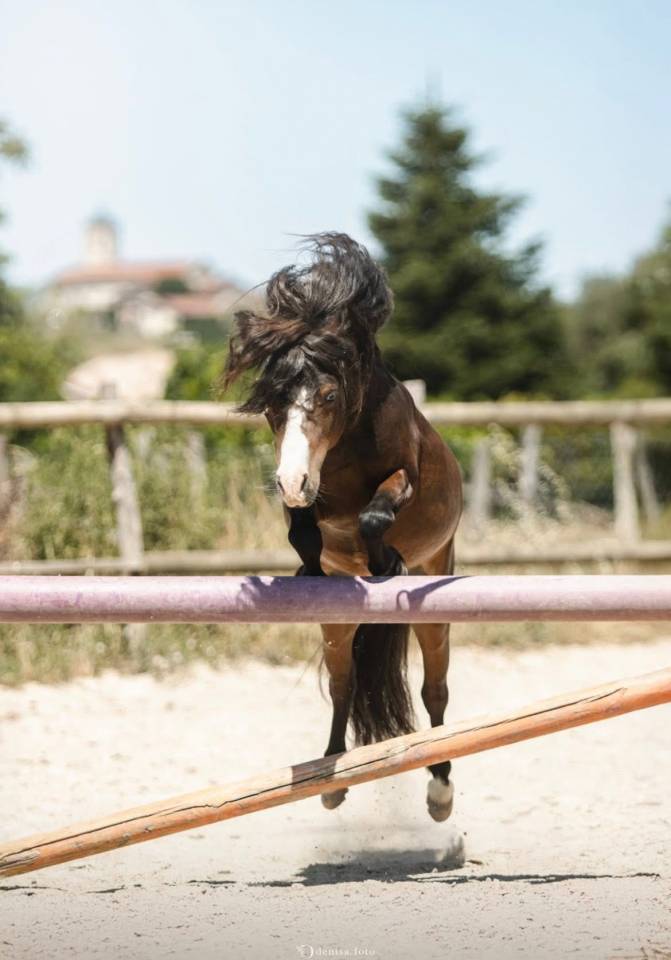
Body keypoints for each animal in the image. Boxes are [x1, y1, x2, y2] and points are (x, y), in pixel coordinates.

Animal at [223, 233, 463, 821]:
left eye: (329, 397)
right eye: (272, 404)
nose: (291, 480)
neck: (346, 446)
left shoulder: (402, 478)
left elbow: (376, 513)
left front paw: (384, 562)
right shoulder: (311, 493)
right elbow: (304, 532)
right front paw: (310, 569)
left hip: (436, 597)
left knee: (436, 690)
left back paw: (440, 790)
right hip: (336, 627)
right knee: (343, 686)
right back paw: (330, 778)